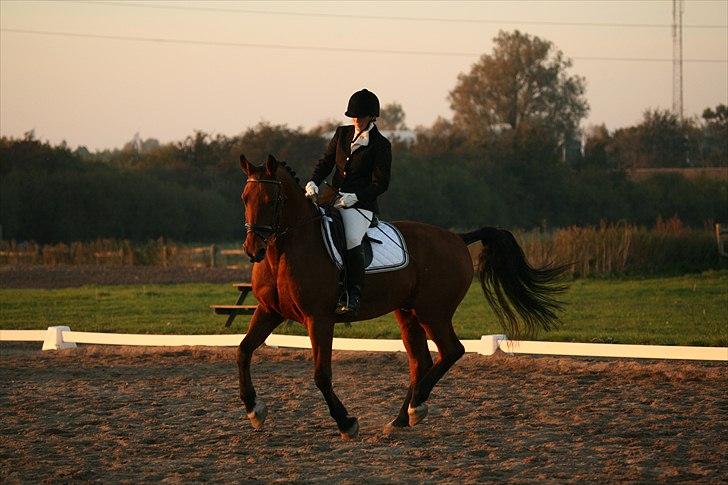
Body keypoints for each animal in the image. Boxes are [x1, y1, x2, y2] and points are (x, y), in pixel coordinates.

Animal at [236, 153, 564, 436]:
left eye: (272, 200)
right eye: (245, 198)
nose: (253, 250)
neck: (283, 252)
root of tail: (457, 238)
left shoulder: (318, 319)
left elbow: (321, 375)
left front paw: (346, 423)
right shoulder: (269, 311)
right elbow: (244, 350)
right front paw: (254, 410)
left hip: (433, 312)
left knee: (451, 351)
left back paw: (416, 407)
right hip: (408, 313)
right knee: (421, 362)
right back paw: (401, 418)